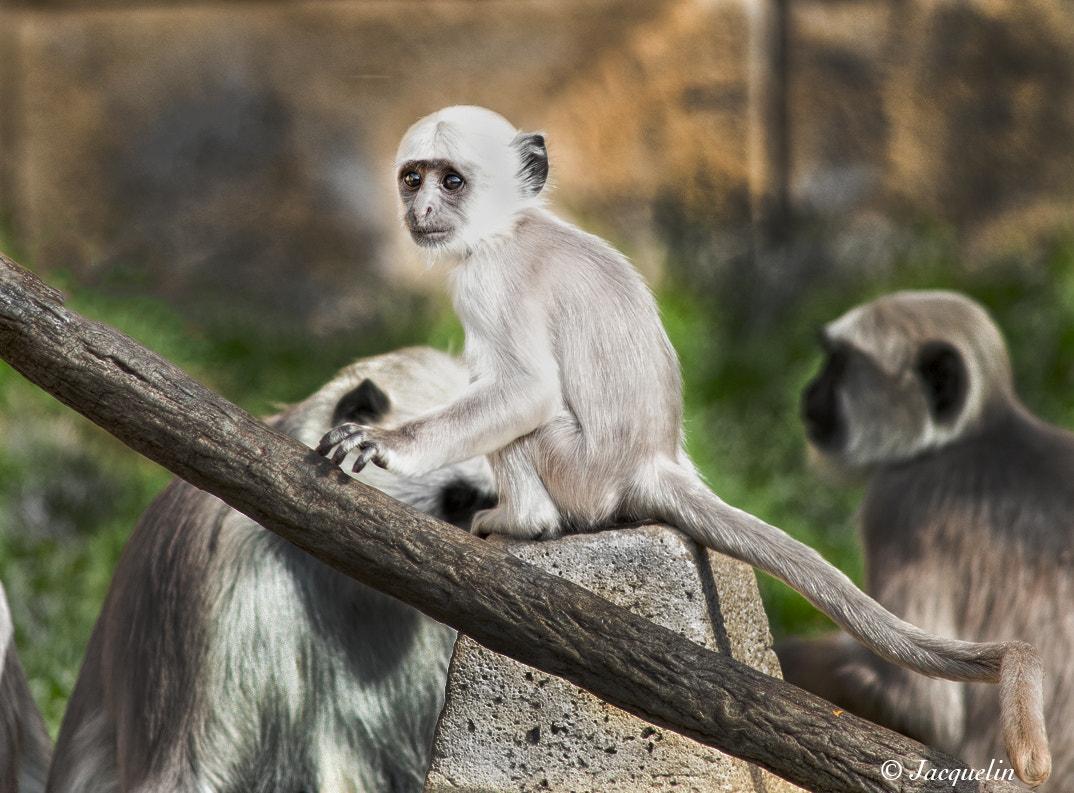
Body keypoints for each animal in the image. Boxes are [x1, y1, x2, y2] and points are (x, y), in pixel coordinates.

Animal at [315, 105, 1048, 786]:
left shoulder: (490, 281)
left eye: (452, 180)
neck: (514, 226)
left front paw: (387, 443)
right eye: (413, 178)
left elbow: (525, 392)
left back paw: (525, 521)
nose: (422, 207)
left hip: (580, 473)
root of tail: (652, 463)